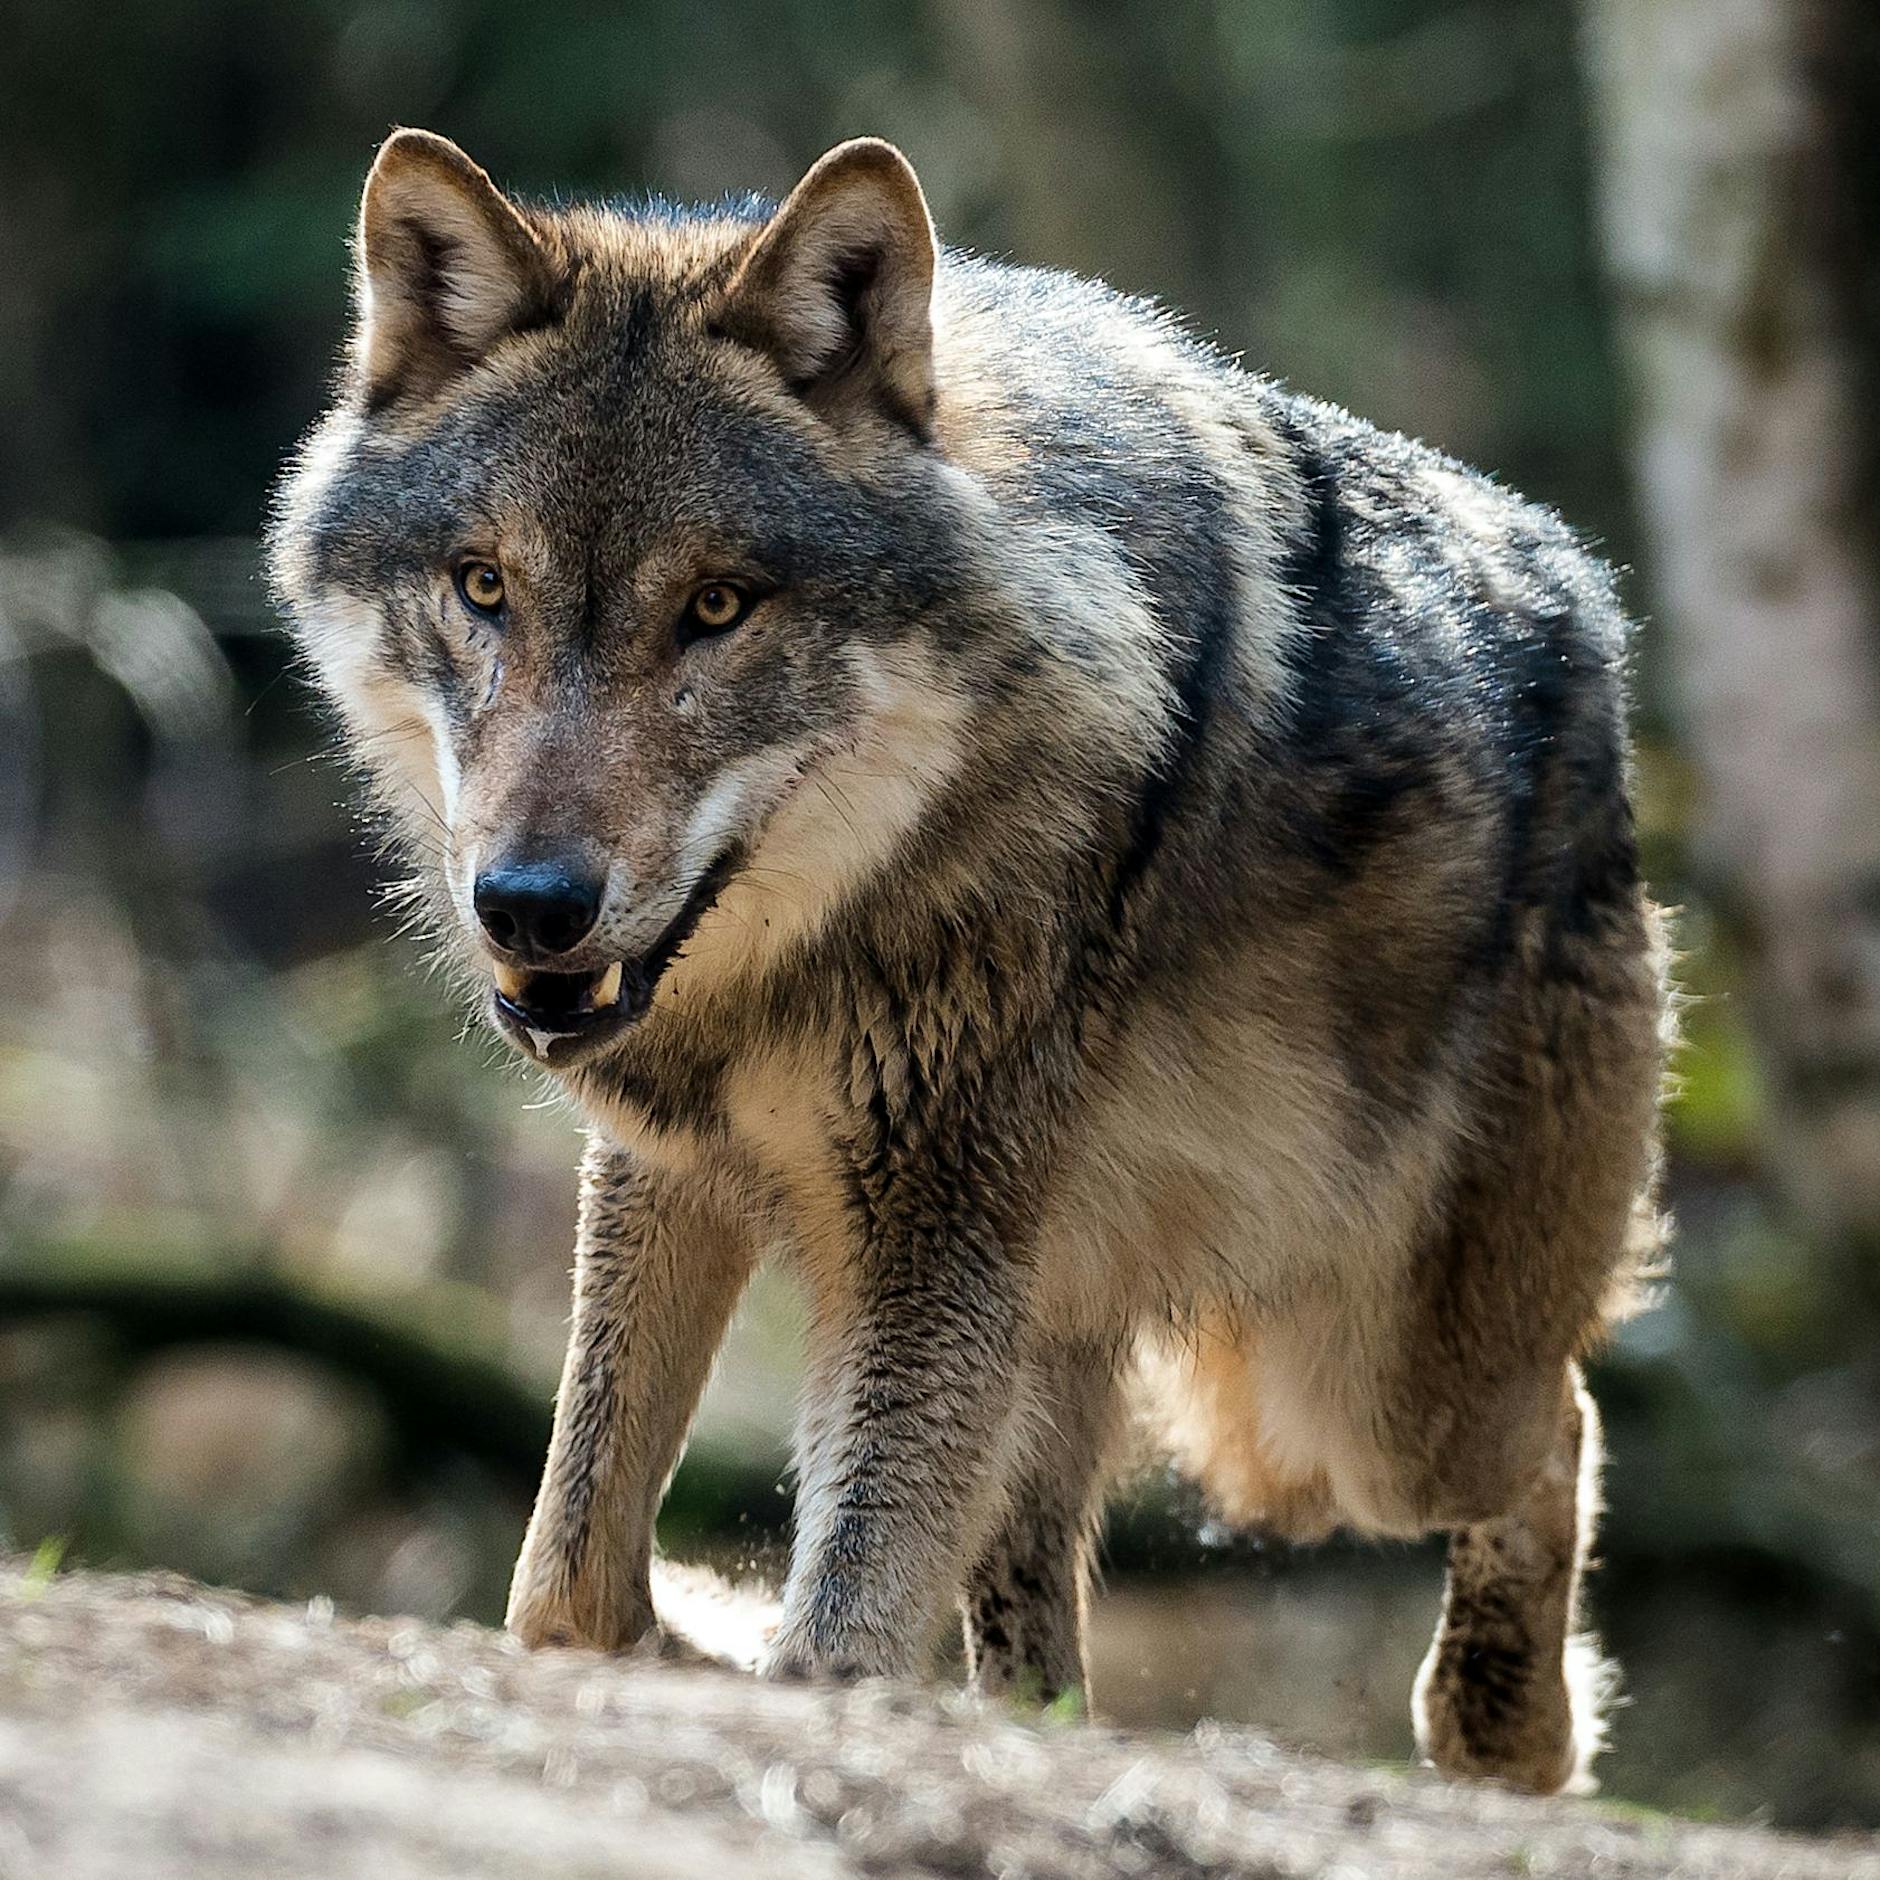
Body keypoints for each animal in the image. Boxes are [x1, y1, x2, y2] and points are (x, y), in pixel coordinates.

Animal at [268, 127, 1668, 1795]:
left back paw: (1506, 1733)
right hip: (1072, 1324)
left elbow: (839, 1630)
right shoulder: (672, 1170)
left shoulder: (925, 1230)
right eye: (485, 587)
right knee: (1039, 1628)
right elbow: (567, 1589)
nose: (531, 904)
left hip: (1356, 1402)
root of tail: (1588, 600)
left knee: (1560, 1425)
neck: (793, 964)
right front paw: (703, 1632)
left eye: (718, 607)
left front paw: (783, 1664)